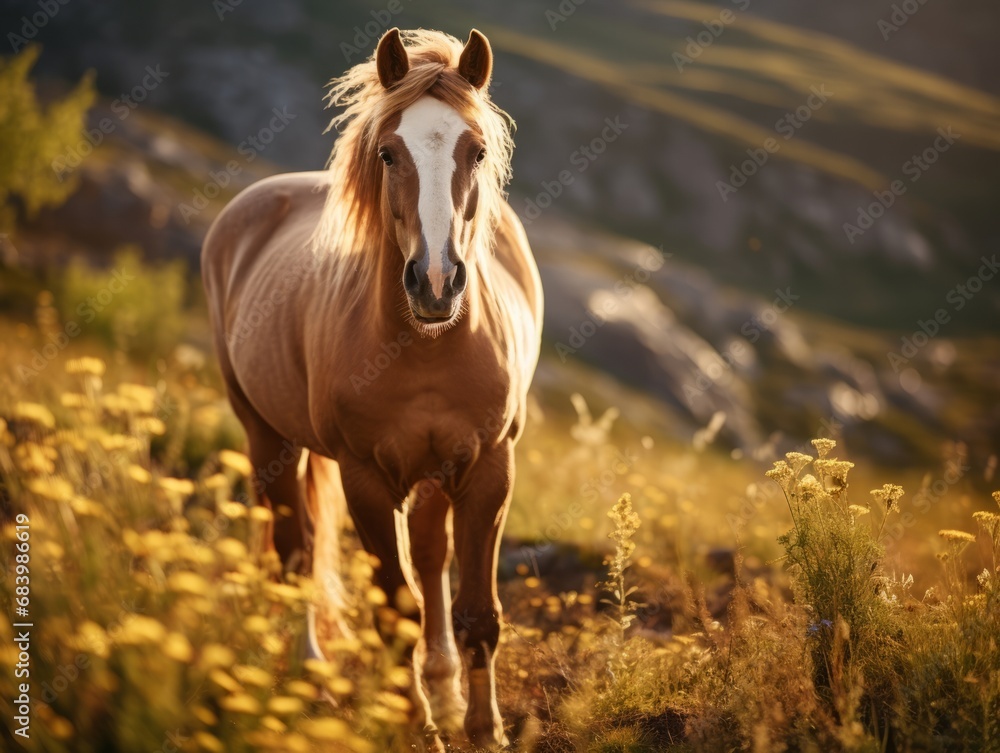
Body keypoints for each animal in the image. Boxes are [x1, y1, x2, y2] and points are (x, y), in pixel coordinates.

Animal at [201, 27, 542, 749]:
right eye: (389, 152)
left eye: (476, 150)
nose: (436, 283)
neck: (431, 347)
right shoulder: (365, 479)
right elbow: (395, 611)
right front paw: (418, 728)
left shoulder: (489, 468)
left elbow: (477, 610)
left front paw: (481, 727)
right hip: (267, 437)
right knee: (296, 553)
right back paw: (309, 673)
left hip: (435, 472)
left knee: (431, 558)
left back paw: (441, 682)